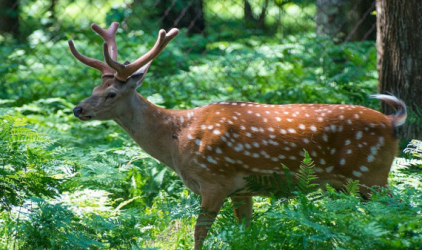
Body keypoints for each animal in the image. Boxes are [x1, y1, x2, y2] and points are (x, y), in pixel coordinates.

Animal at [68, 22, 406, 249]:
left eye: (111, 94)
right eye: (94, 87)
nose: (78, 109)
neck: (177, 139)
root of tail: (392, 122)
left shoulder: (214, 180)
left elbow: (199, 233)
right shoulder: (242, 188)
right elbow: (246, 232)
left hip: (371, 174)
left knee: (401, 208)